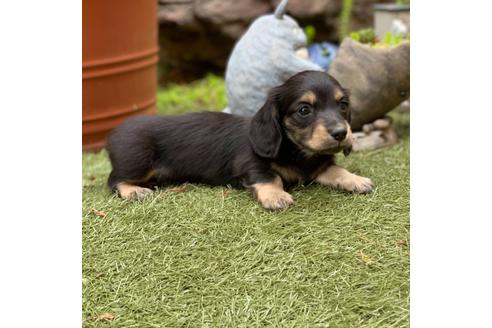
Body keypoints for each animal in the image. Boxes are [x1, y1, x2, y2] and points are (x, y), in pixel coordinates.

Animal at [105, 71, 370, 210]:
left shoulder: (319, 165)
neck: (298, 152)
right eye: (304, 110)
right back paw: (135, 191)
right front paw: (276, 196)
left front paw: (356, 180)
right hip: (138, 161)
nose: (341, 133)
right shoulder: (250, 165)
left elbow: (336, 169)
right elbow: (270, 177)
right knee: (114, 181)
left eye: (343, 105)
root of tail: (114, 134)